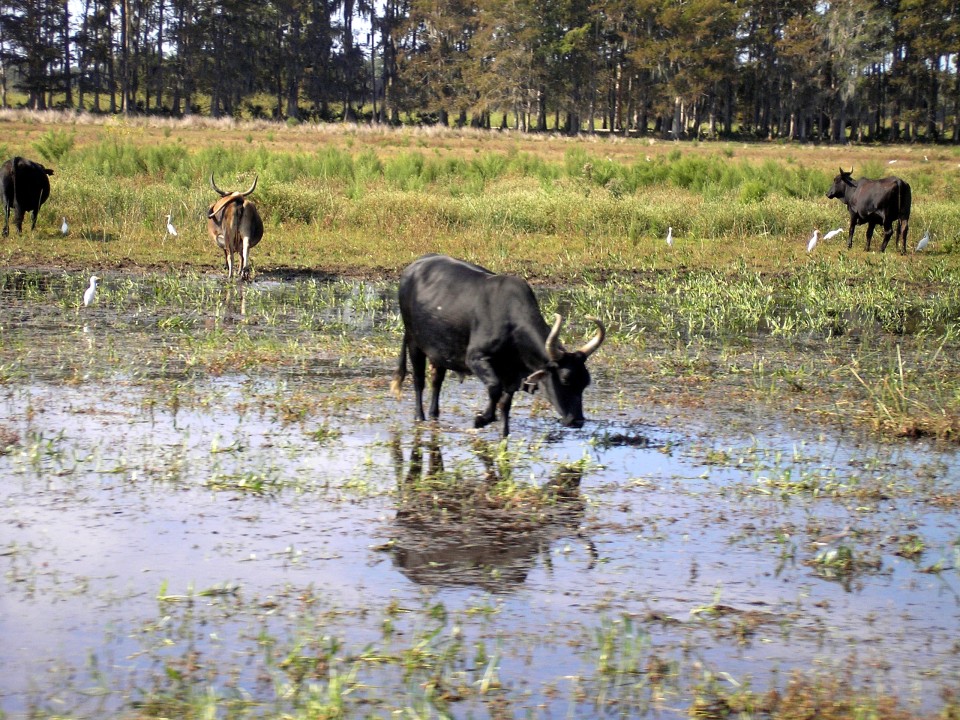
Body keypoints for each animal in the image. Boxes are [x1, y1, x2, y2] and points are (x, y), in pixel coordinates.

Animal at [391, 254, 605, 437]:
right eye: (566, 380)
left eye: (585, 382)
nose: (577, 420)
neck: (511, 323)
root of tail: (413, 266)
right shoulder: (476, 358)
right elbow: (494, 388)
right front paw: (482, 419)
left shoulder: (512, 374)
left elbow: (505, 403)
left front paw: (504, 433)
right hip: (414, 342)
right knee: (419, 380)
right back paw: (419, 417)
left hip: (439, 350)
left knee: (436, 380)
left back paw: (434, 414)